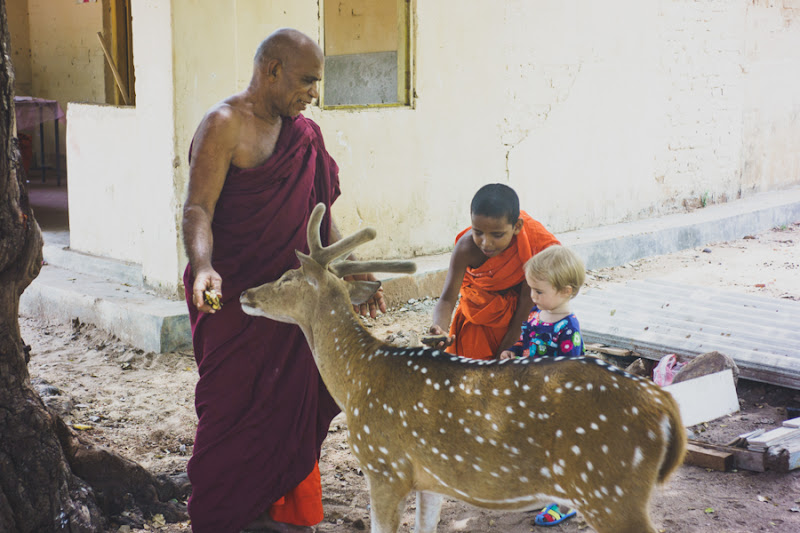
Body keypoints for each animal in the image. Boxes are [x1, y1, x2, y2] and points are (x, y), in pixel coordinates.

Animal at [239, 203, 688, 532]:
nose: (245, 293)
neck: (356, 381)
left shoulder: (384, 466)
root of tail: (665, 408)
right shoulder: (429, 478)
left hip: (611, 488)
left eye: (287, 277)